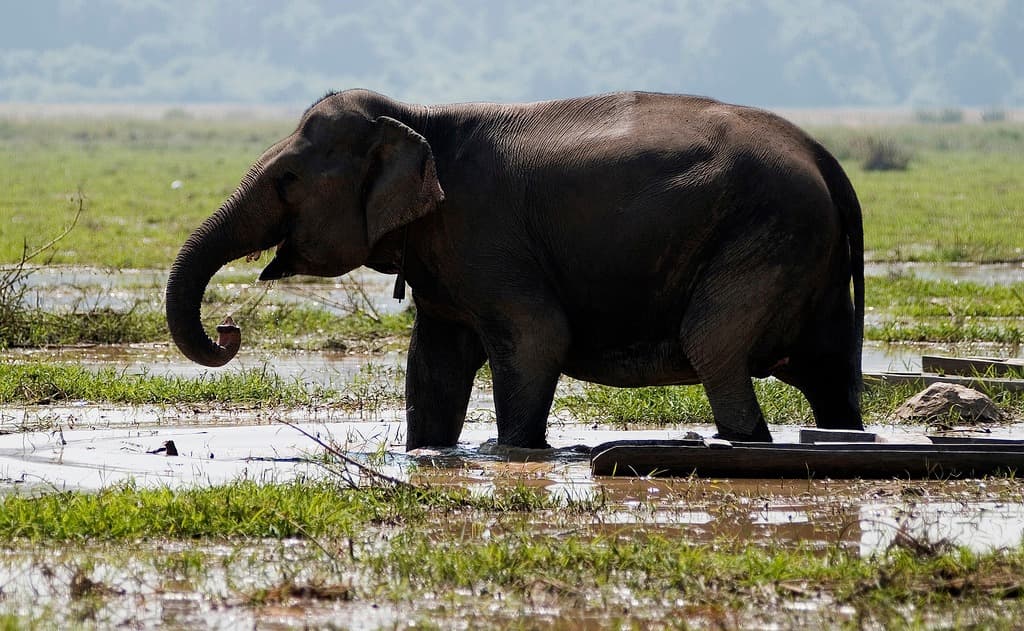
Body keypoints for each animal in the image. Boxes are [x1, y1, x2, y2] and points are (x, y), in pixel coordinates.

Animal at [166, 89, 865, 449]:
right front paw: (427, 453)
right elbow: (434, 363)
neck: (419, 118)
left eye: (287, 179)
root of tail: (826, 159)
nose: (229, 330)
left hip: (768, 233)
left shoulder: (487, 236)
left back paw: (747, 444)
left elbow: (536, 337)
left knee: (713, 343)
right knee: (831, 374)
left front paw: (516, 454)